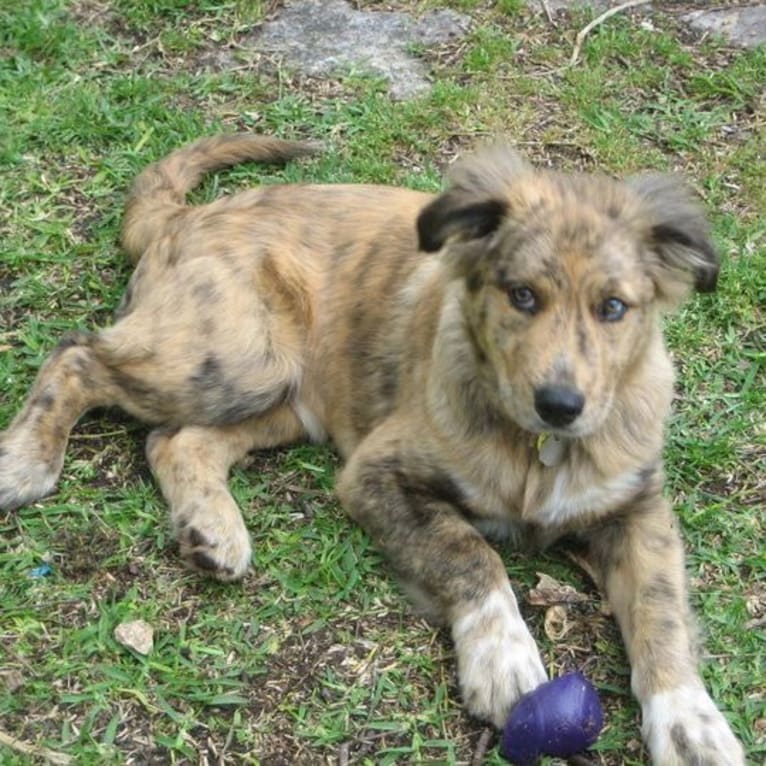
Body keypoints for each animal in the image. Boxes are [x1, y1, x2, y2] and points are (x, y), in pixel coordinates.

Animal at [0, 135, 744, 764]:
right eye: (522, 296)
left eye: (613, 308)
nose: (560, 405)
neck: (537, 451)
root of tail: (185, 218)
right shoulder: (377, 474)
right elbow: (468, 551)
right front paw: (503, 657)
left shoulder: (638, 508)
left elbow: (660, 609)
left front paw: (692, 724)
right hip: (238, 357)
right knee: (78, 356)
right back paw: (26, 462)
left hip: (286, 399)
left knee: (175, 440)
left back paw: (212, 529)